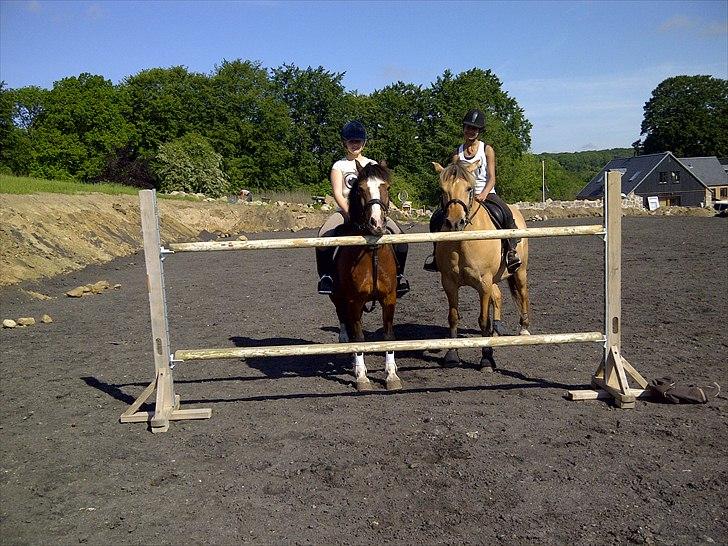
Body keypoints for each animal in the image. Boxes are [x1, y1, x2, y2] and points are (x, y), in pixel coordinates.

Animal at [332, 159, 404, 388]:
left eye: (387, 187)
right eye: (361, 189)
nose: (377, 223)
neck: (372, 251)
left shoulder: (389, 298)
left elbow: (388, 336)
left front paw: (391, 375)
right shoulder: (354, 300)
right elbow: (359, 337)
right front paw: (361, 376)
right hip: (338, 297)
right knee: (345, 324)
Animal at [432, 158, 528, 370]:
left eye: (469, 188)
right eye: (442, 190)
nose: (455, 223)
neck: (463, 242)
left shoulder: (483, 282)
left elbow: (483, 320)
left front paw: (486, 359)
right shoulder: (449, 283)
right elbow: (453, 317)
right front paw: (452, 355)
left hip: (520, 271)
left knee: (523, 294)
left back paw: (524, 328)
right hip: (494, 279)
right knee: (498, 296)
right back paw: (497, 329)